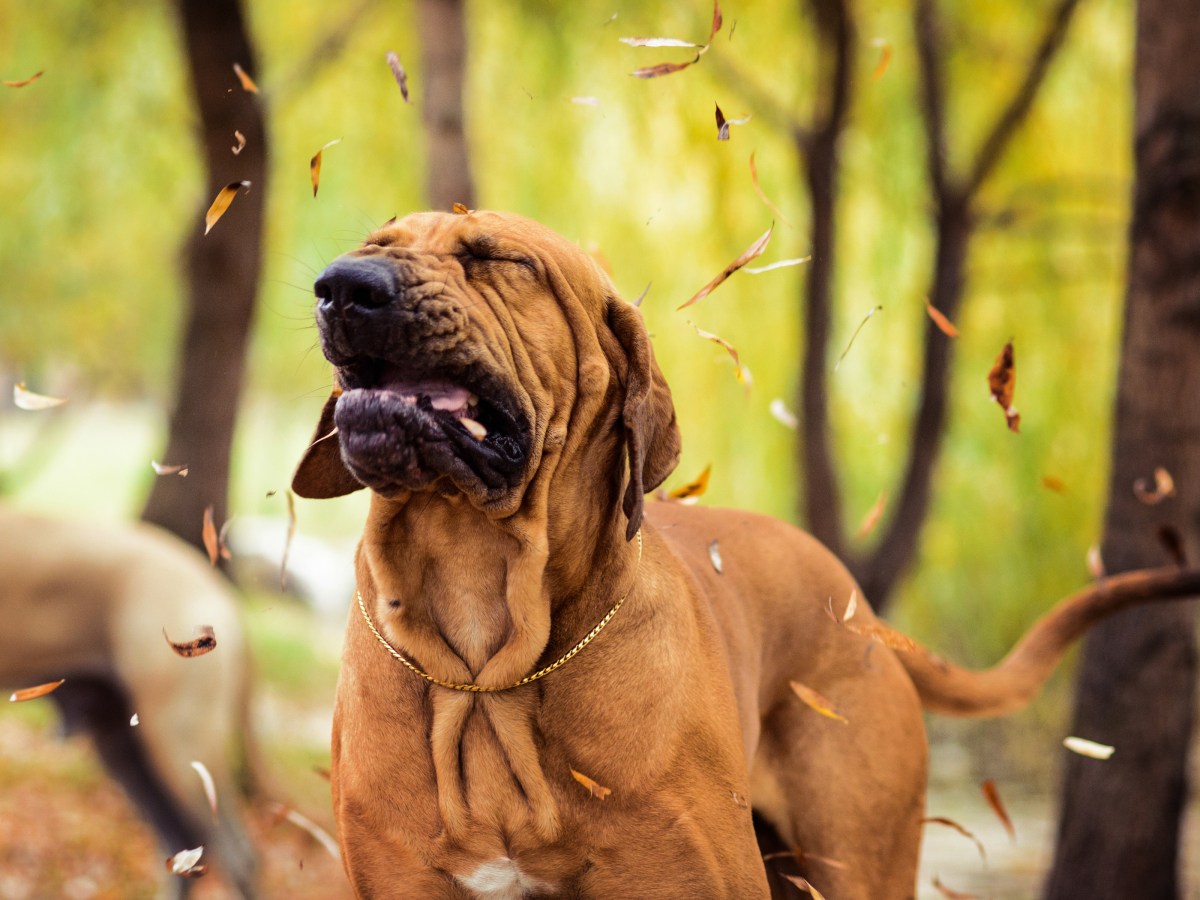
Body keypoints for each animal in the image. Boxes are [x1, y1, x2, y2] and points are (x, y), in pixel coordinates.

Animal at [290, 207, 1200, 897]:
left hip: (855, 856)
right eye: (375, 244)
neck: (488, 660)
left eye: (498, 260)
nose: (342, 286)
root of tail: (859, 608)